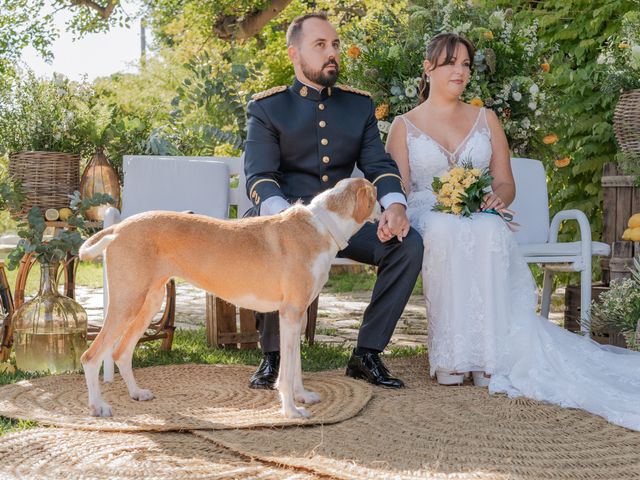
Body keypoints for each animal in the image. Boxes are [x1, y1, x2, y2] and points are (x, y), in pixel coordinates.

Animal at [79, 178, 380, 418]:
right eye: (376, 193)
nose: (384, 209)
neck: (321, 226)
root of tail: (119, 228)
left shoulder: (298, 316)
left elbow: (295, 366)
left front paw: (302, 396)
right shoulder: (290, 314)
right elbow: (285, 374)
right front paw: (292, 411)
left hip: (148, 303)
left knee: (121, 351)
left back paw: (136, 392)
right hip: (126, 303)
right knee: (91, 356)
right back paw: (98, 406)